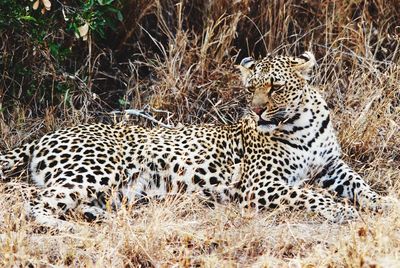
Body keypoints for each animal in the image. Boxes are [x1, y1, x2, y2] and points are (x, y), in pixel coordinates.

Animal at [0, 51, 388, 229]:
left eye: (275, 87)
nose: (258, 112)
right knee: (34, 204)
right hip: (96, 169)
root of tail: (47, 135)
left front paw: (383, 203)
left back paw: (98, 217)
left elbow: (360, 185)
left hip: (113, 188)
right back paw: (70, 227)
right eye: (250, 89)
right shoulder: (261, 186)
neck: (302, 123)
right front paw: (341, 210)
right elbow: (309, 194)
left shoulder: (332, 166)